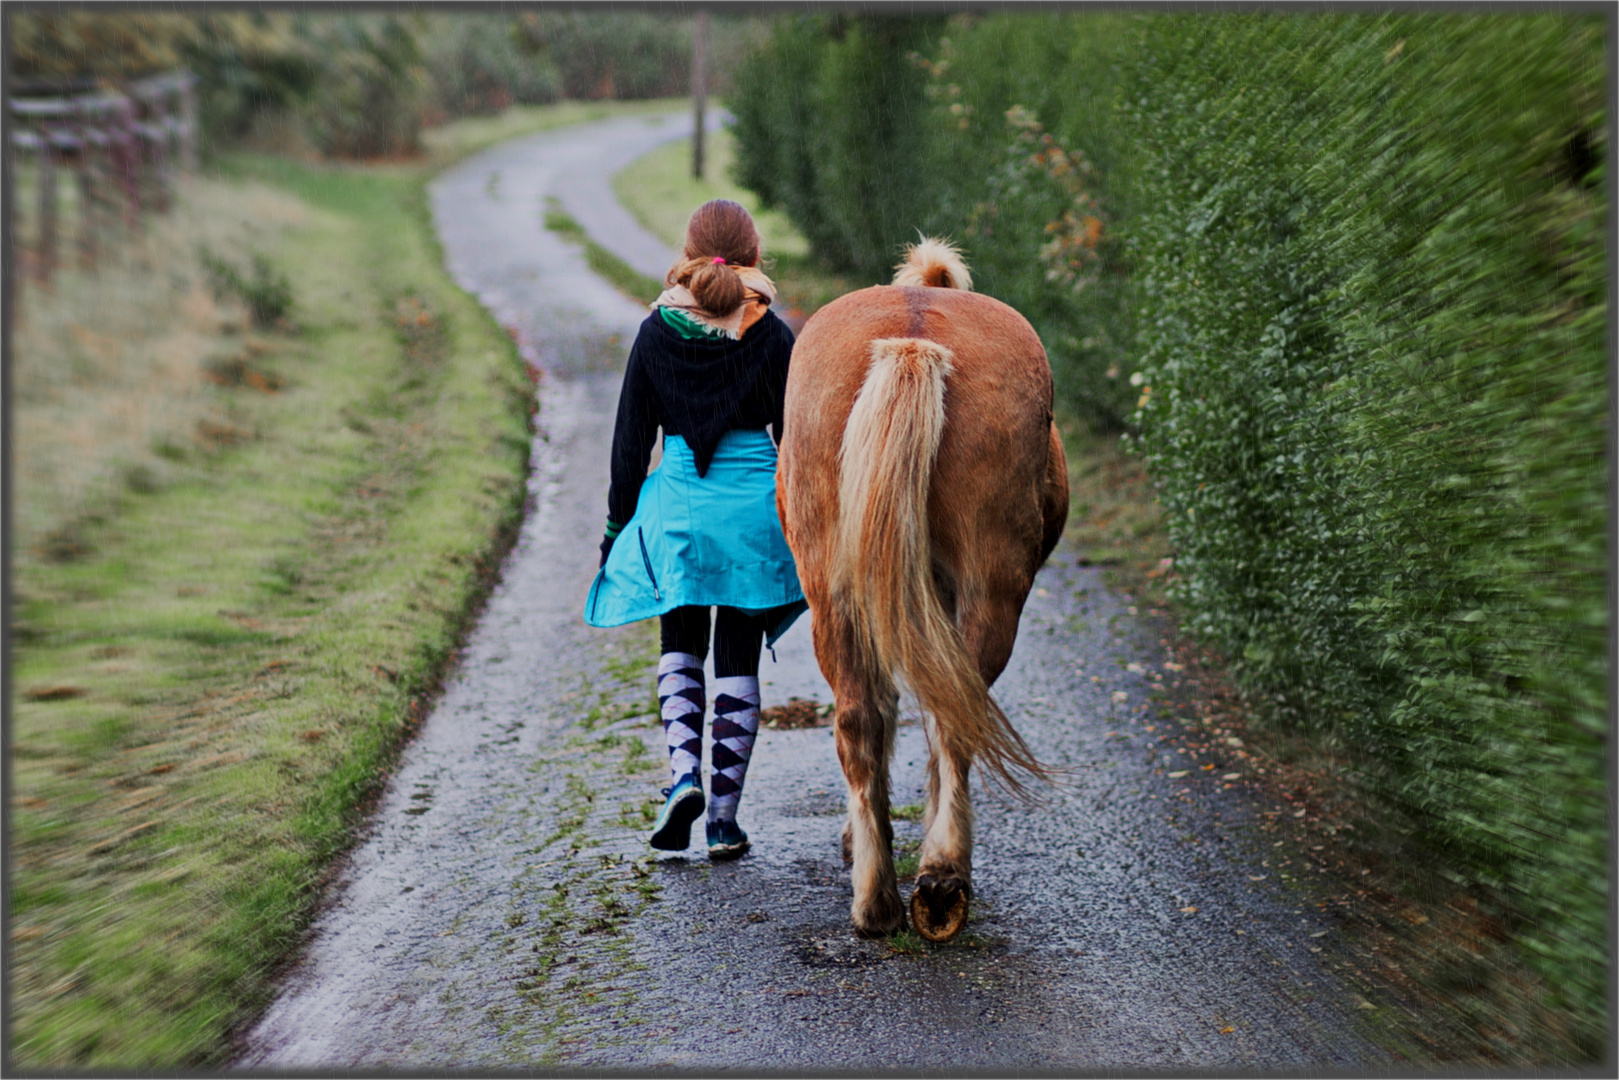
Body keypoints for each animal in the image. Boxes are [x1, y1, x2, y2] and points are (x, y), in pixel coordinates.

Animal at [777, 236, 1068, 939]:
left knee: (865, 717)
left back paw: (884, 897)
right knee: (942, 712)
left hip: (839, 595)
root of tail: (912, 341)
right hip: (987, 590)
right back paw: (936, 882)